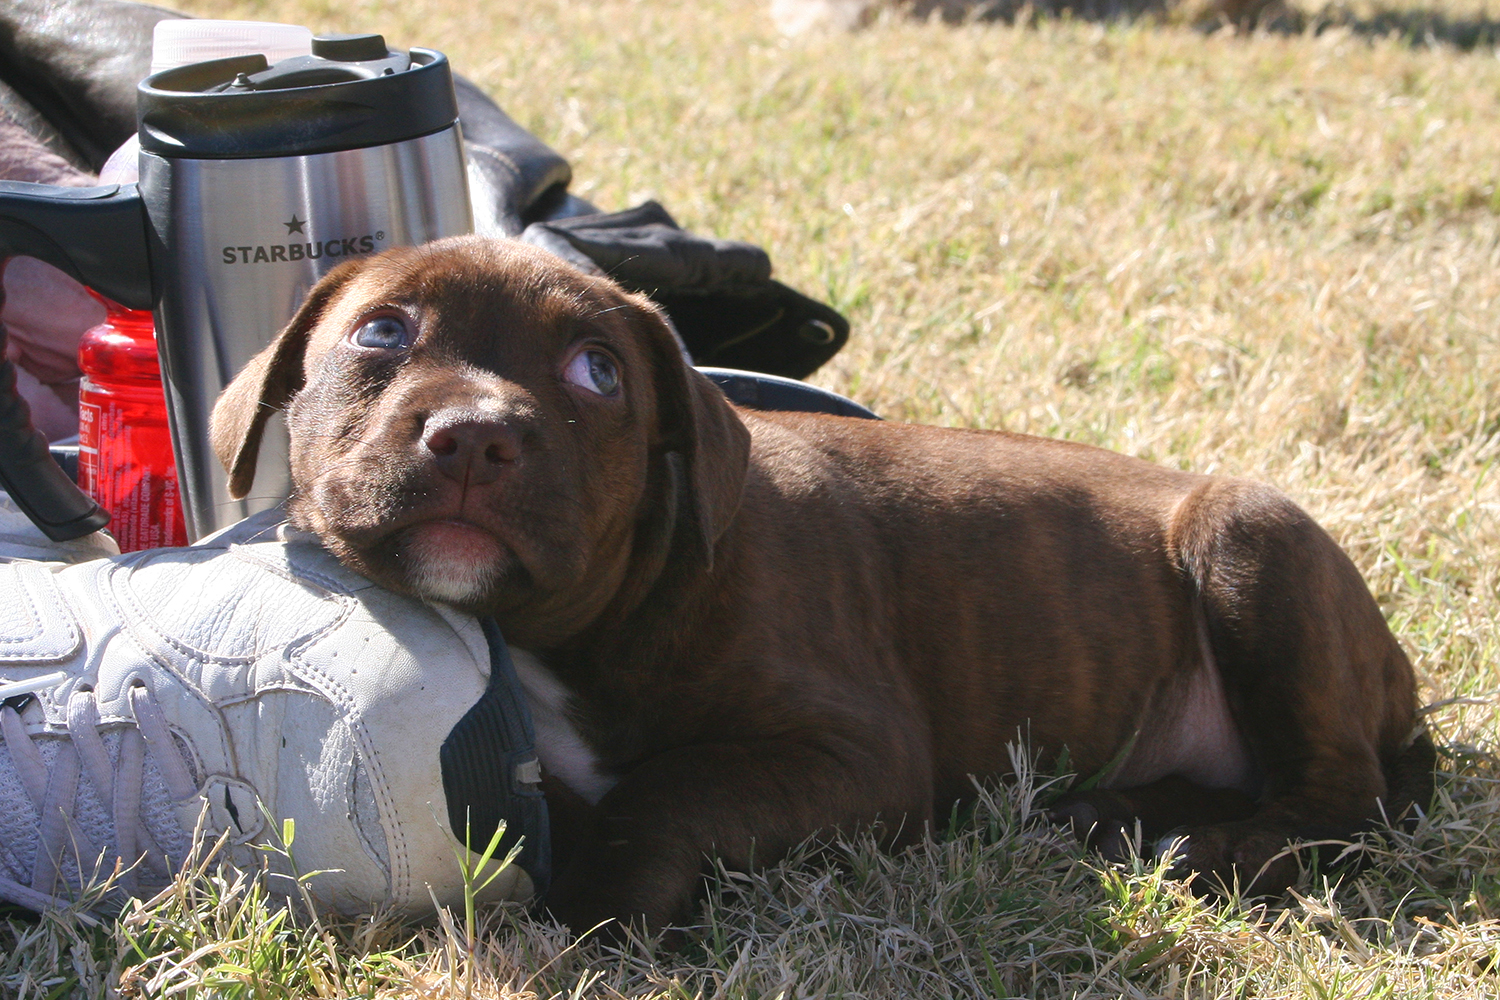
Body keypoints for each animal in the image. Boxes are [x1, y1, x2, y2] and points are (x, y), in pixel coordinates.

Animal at [211, 236, 1428, 941]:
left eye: (597, 372)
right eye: (381, 331)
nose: (474, 436)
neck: (577, 630)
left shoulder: (855, 755)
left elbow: (672, 786)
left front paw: (604, 904)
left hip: (1253, 541)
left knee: (1345, 803)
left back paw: (1207, 851)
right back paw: (1117, 817)